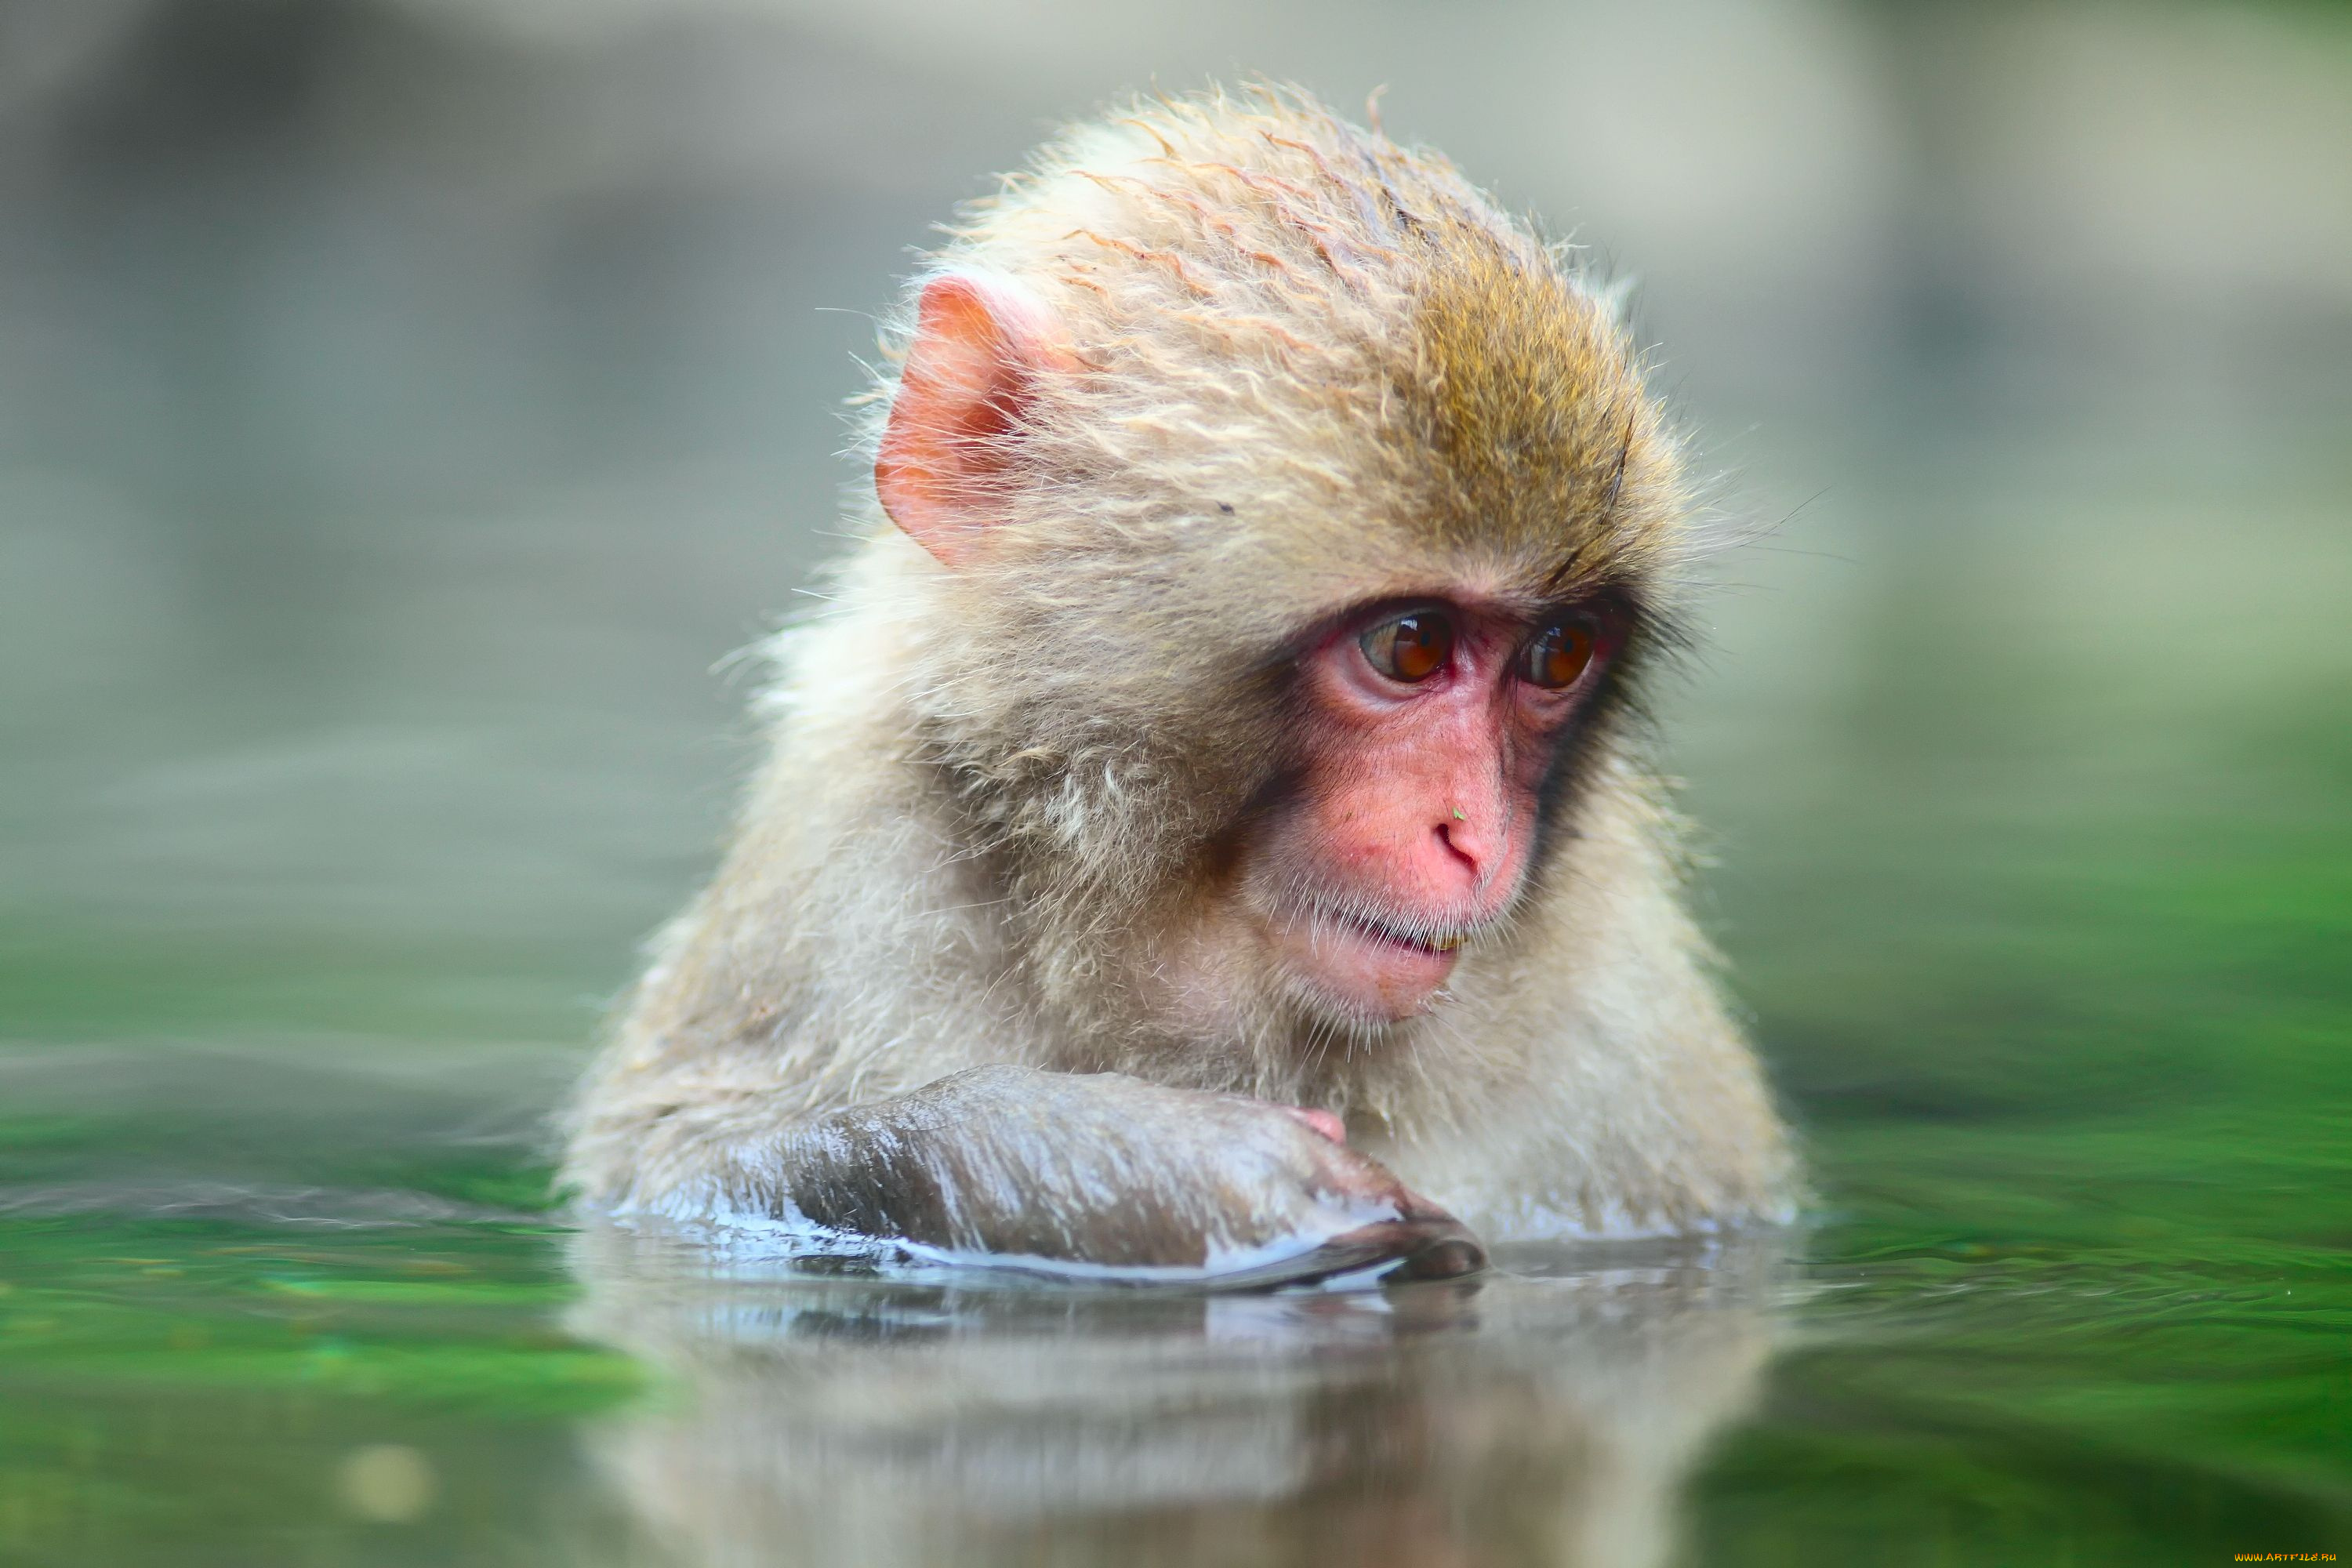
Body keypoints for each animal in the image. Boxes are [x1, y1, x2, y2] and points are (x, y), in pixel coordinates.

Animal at [561, 84, 1796, 1286]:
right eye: (1409, 646)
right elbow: (682, 1168)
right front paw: (1157, 1163)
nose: (1475, 838)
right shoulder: (837, 871)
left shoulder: (1631, 1038)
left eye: (1556, 656)